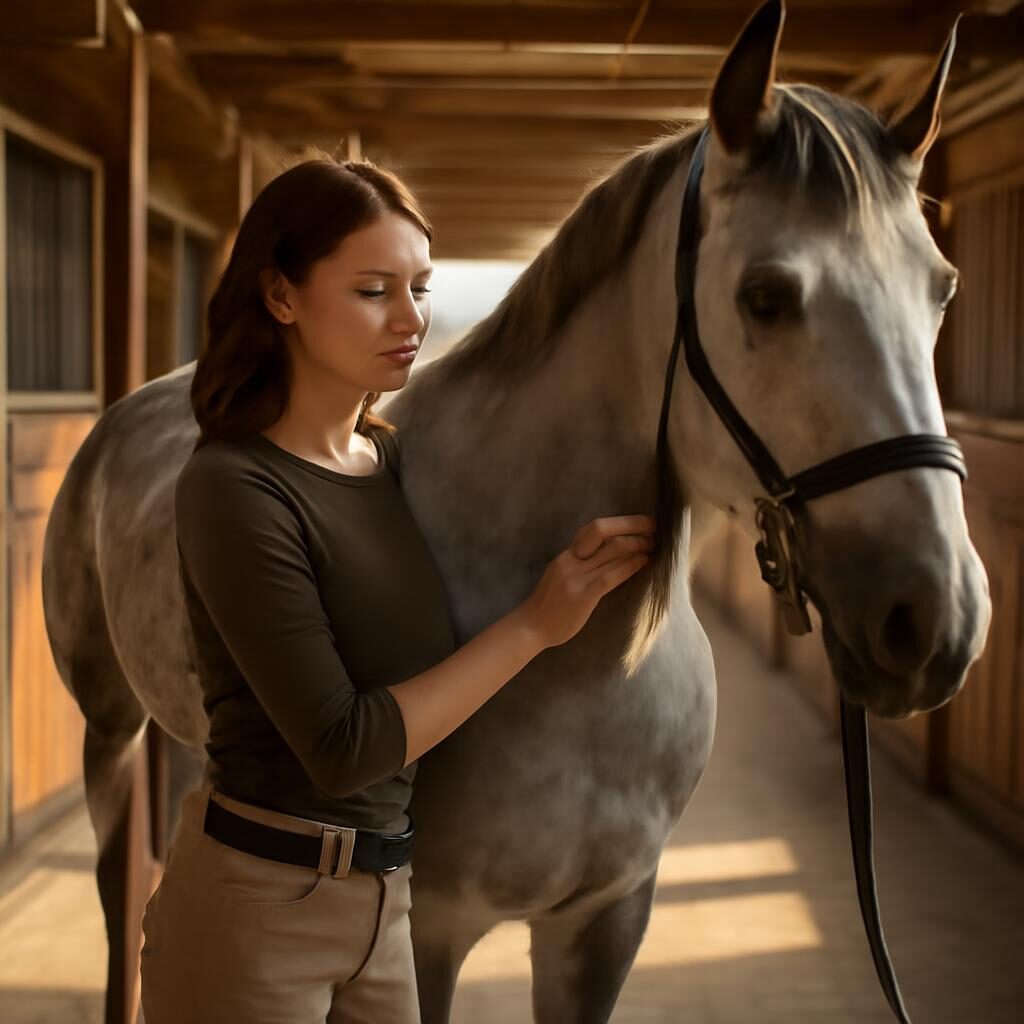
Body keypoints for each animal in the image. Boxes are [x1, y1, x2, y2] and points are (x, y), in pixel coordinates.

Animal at [42, 2, 990, 1021]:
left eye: (944, 290)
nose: (936, 622)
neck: (583, 676)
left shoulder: (605, 923)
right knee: (116, 885)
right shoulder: (429, 931)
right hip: (108, 729)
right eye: (765, 296)